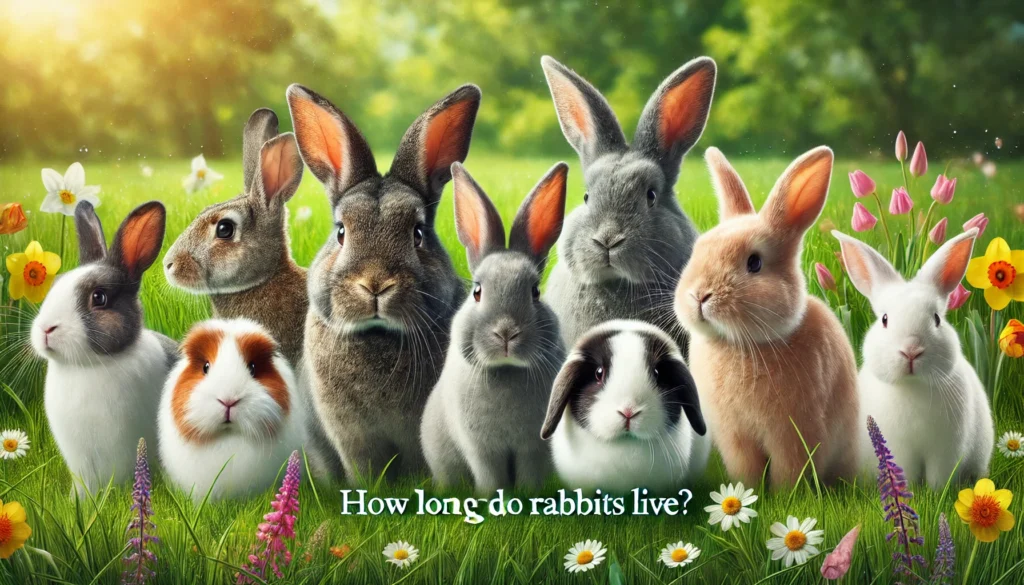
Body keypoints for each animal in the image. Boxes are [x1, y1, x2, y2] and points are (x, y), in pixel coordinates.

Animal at [287, 82, 479, 481]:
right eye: (341, 232)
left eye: (418, 233)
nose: (375, 284)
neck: (378, 335)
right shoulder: (351, 435)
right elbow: (364, 468)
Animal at [421, 162, 568, 494]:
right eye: (477, 291)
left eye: (535, 292)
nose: (506, 333)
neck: (506, 371)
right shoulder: (481, 449)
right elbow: (489, 474)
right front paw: (492, 497)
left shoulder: (533, 448)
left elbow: (529, 473)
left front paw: (528, 496)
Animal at [674, 147, 859, 488]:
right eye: (698, 250)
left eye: (755, 263)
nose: (699, 295)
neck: (740, 344)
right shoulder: (734, 437)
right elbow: (745, 469)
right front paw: (745, 490)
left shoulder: (794, 434)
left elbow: (790, 471)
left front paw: (786, 495)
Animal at [833, 228, 993, 489]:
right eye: (885, 319)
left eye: (937, 318)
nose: (911, 350)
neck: (912, 386)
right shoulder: (898, 448)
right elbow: (903, 470)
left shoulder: (946, 451)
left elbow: (939, 478)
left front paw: (936, 493)